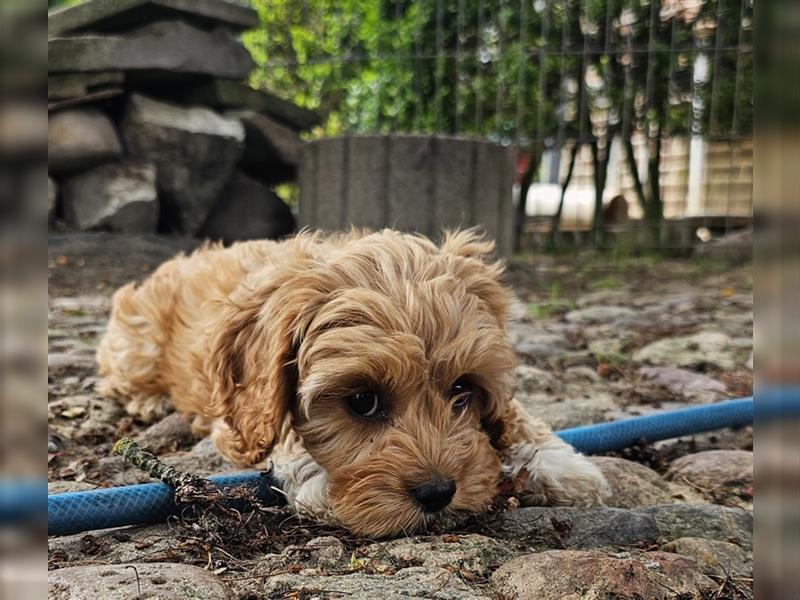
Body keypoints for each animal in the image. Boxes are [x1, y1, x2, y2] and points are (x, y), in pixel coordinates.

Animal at [97, 229, 608, 536]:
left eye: (462, 390)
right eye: (362, 401)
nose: (438, 493)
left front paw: (559, 463)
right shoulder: (238, 416)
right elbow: (287, 438)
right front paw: (321, 482)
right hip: (137, 342)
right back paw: (146, 402)